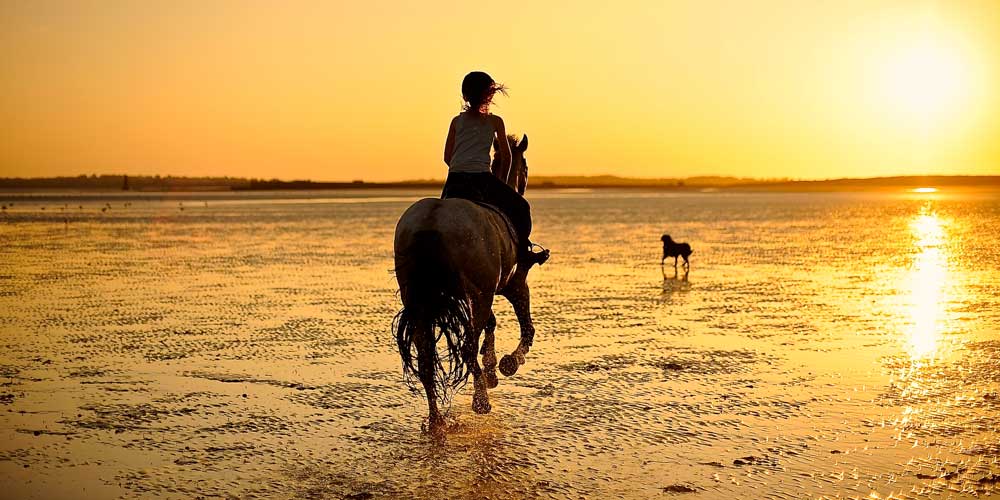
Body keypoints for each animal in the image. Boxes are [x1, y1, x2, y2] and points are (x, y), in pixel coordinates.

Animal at [392, 134, 540, 430]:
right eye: (526, 167)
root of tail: (431, 220)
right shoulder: (514, 283)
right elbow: (527, 328)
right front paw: (508, 363)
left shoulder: (485, 291)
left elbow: (493, 324)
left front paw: (492, 369)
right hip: (478, 294)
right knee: (466, 346)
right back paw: (480, 401)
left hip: (420, 300)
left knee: (426, 358)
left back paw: (436, 419)